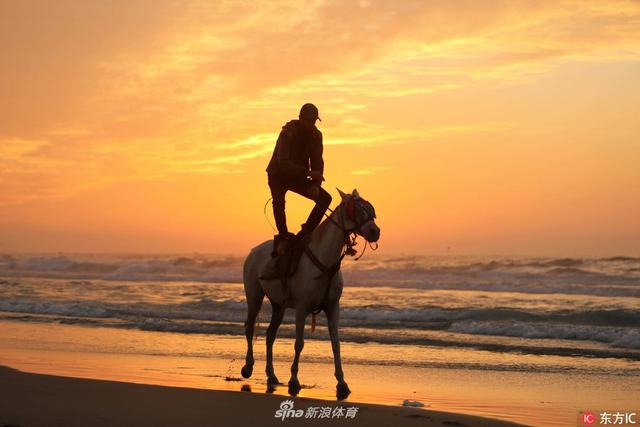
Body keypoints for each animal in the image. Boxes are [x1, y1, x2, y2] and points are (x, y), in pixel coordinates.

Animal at [240, 189, 380, 400]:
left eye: (370, 209)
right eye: (356, 209)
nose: (375, 231)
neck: (325, 262)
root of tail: (252, 251)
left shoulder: (333, 307)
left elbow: (336, 344)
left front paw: (342, 382)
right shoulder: (302, 308)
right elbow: (299, 343)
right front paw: (294, 380)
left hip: (278, 305)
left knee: (270, 335)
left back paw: (271, 375)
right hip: (254, 295)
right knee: (249, 328)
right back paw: (248, 367)